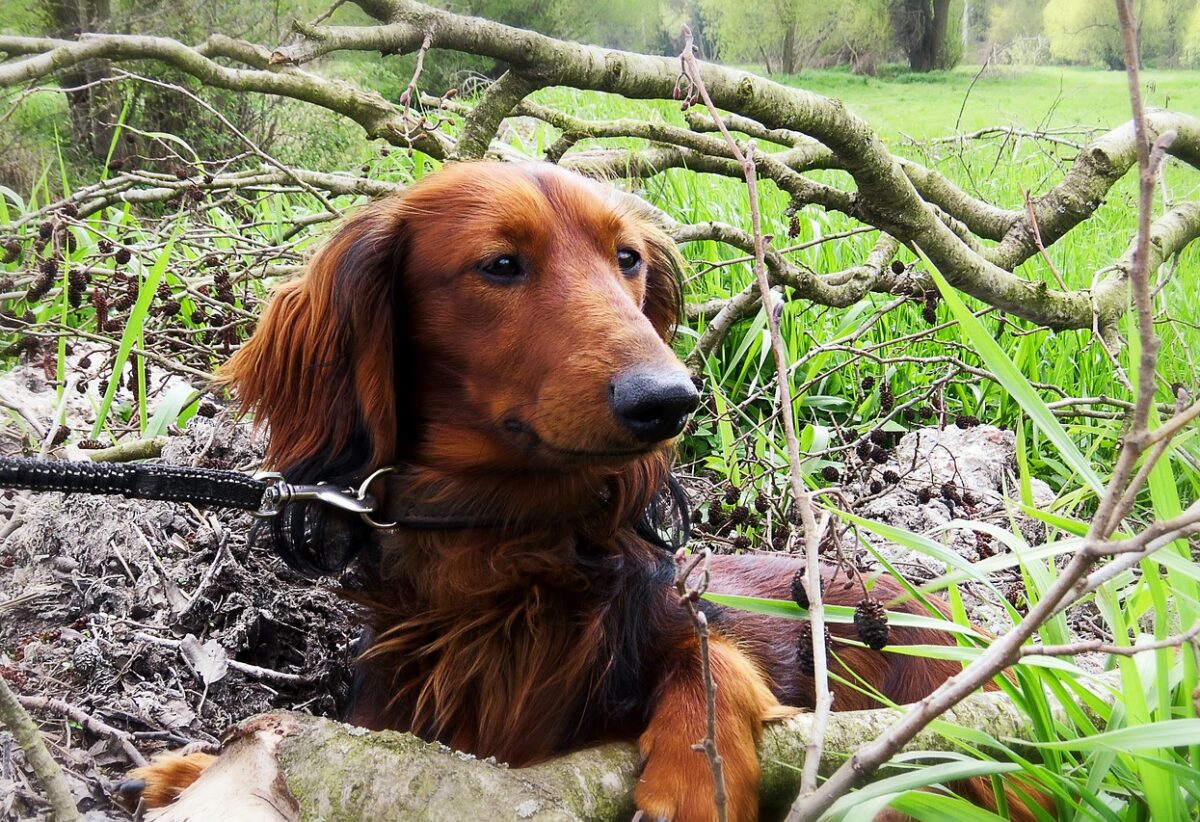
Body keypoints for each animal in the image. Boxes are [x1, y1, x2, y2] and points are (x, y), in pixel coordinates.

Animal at [126, 162, 1036, 820]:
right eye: (500, 265)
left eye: (626, 258)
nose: (670, 400)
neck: (506, 548)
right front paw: (190, 769)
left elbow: (713, 654)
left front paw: (695, 780)